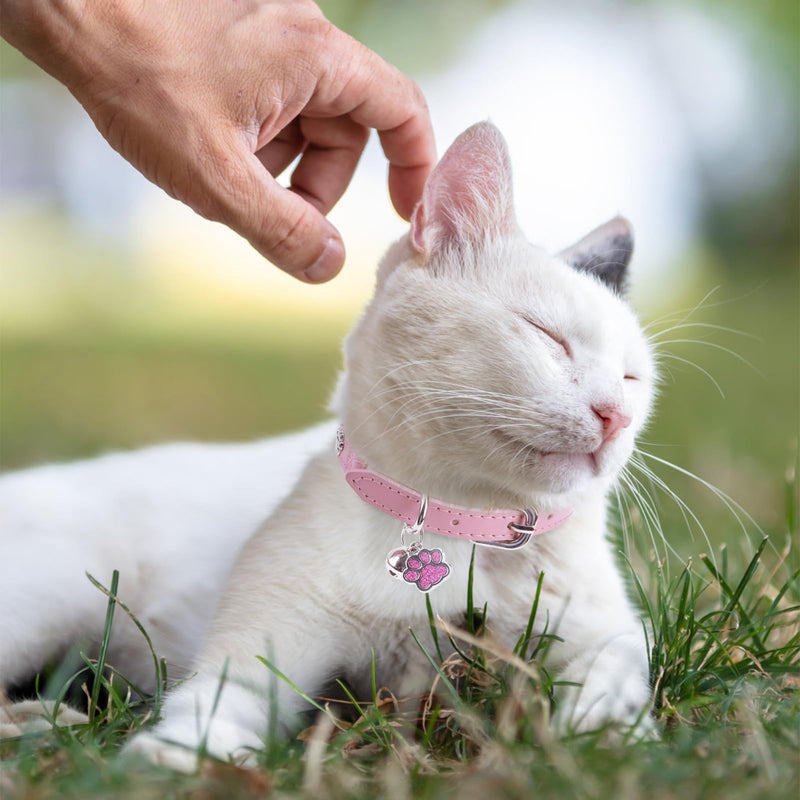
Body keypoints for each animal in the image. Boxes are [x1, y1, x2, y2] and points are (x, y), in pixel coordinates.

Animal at [0, 123, 656, 768]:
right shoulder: (261, 649)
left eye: (632, 378)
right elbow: (219, 700)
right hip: (50, 599)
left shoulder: (604, 630)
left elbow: (622, 661)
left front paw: (608, 729)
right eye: (548, 337)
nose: (615, 415)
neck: (465, 528)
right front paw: (178, 756)